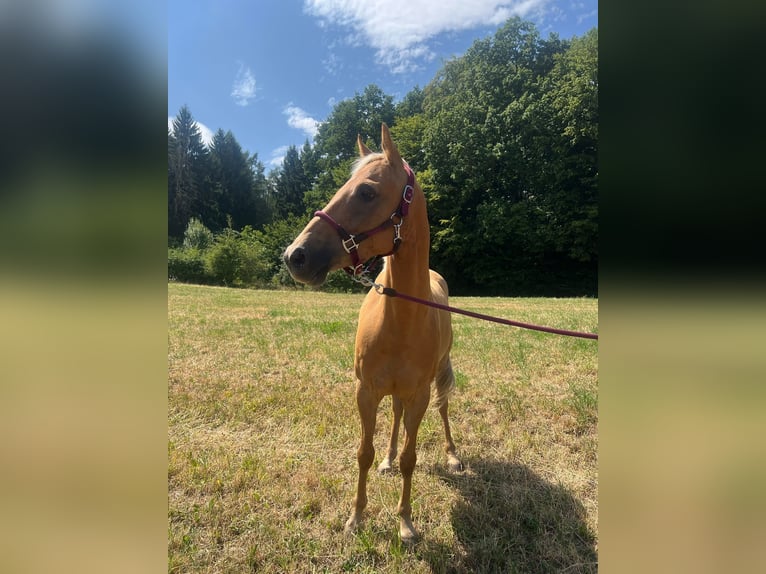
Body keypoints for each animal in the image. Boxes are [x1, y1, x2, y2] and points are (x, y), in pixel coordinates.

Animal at [283, 123, 462, 542]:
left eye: (367, 191)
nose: (295, 256)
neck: (401, 318)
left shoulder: (419, 395)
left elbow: (413, 458)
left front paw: (406, 522)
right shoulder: (366, 391)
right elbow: (363, 453)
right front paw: (356, 518)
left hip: (438, 375)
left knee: (444, 407)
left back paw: (451, 455)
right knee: (394, 418)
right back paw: (388, 459)